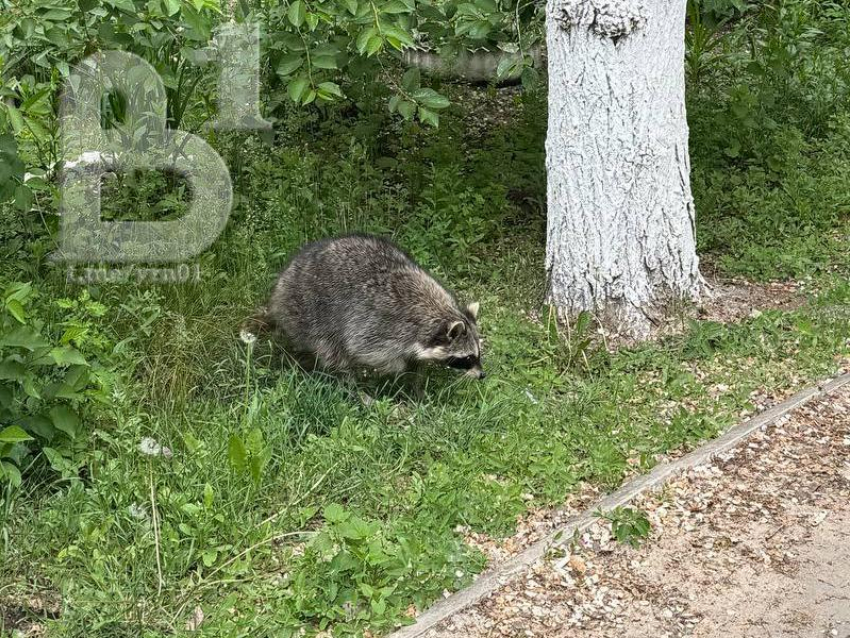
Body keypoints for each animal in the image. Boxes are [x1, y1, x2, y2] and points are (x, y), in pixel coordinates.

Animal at [252, 234, 484, 380]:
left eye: (477, 353)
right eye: (468, 358)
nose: (483, 375)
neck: (435, 312)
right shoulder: (378, 323)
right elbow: (364, 348)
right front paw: (398, 367)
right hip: (309, 311)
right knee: (333, 352)